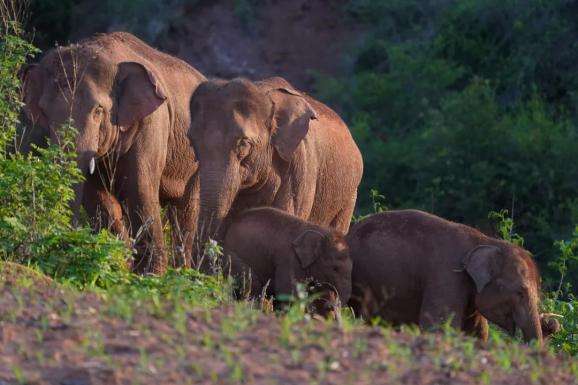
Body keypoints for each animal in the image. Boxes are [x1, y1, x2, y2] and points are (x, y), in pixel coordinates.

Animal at [21, 33, 206, 272]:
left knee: (186, 212)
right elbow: (98, 198)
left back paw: (182, 272)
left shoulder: (151, 124)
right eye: (44, 112)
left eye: (98, 110)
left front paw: (151, 274)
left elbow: (140, 191)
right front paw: (118, 264)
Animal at [223, 207, 354, 318]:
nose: (332, 306)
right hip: (233, 256)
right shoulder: (289, 260)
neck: (319, 231)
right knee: (250, 284)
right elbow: (288, 292)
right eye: (335, 268)